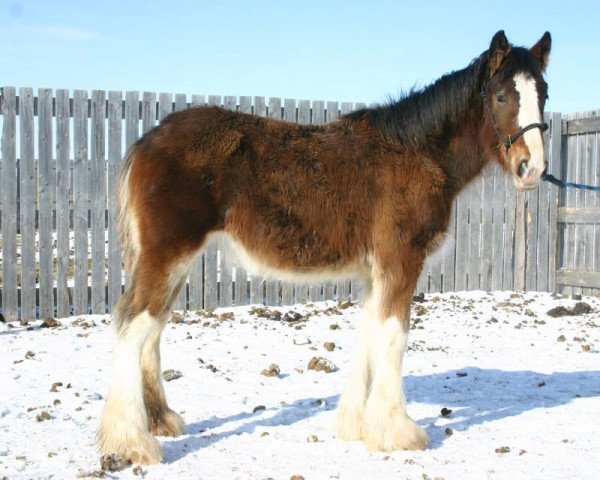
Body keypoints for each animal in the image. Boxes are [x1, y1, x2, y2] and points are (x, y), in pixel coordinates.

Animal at [96, 31, 552, 464]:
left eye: (544, 93)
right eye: (501, 95)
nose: (531, 170)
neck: (418, 153)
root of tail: (145, 143)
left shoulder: (374, 271)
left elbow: (369, 332)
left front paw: (356, 425)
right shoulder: (401, 261)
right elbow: (394, 335)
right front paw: (397, 432)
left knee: (153, 329)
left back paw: (160, 421)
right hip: (168, 255)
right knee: (132, 325)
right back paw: (131, 442)